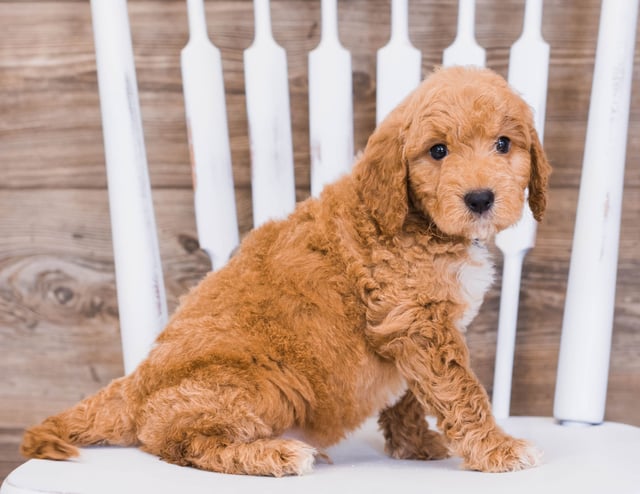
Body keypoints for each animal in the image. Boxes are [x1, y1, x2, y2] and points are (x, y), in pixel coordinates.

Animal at [20, 64, 552, 474]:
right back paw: (274, 454)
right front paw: (498, 450)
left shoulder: (410, 330)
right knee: (183, 444)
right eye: (438, 150)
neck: (415, 219)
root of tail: (131, 388)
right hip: (262, 385)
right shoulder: (417, 321)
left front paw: (415, 446)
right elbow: (461, 391)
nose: (480, 199)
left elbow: (409, 396)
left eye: (504, 144)